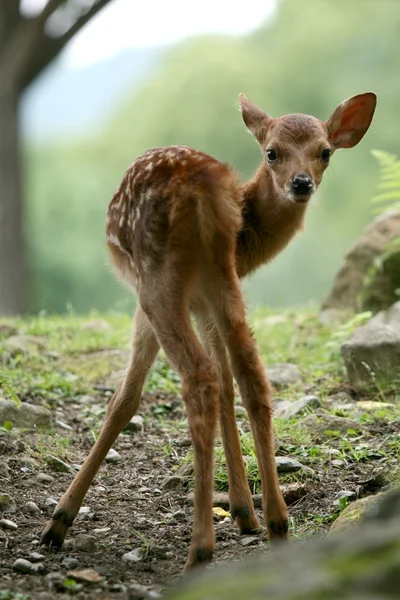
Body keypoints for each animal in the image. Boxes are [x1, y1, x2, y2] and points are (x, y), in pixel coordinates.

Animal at [42, 91, 376, 568]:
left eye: (325, 151)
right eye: (271, 151)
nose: (301, 183)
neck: (251, 235)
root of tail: (202, 191)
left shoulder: (158, 302)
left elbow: (126, 399)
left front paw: (59, 520)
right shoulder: (211, 298)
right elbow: (229, 385)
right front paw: (244, 512)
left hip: (159, 280)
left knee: (198, 379)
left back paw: (199, 550)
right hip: (220, 281)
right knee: (252, 377)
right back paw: (277, 526)